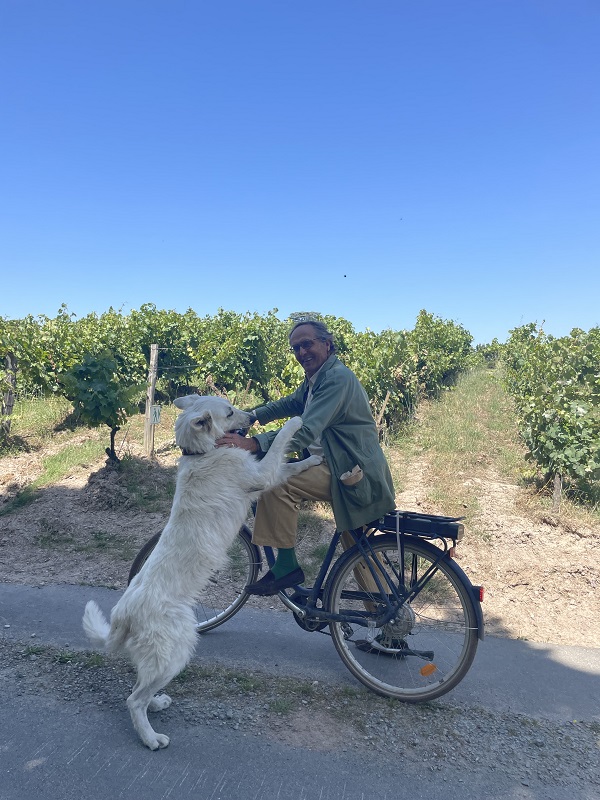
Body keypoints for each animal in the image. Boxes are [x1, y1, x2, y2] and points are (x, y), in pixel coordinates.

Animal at [83, 394, 324, 752]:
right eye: (230, 412)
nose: (253, 416)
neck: (202, 453)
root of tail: (123, 615)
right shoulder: (263, 474)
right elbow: (282, 443)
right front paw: (295, 422)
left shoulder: (266, 475)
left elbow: (292, 465)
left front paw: (314, 457)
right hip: (177, 650)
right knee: (133, 700)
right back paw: (151, 737)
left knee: (140, 689)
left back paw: (157, 704)